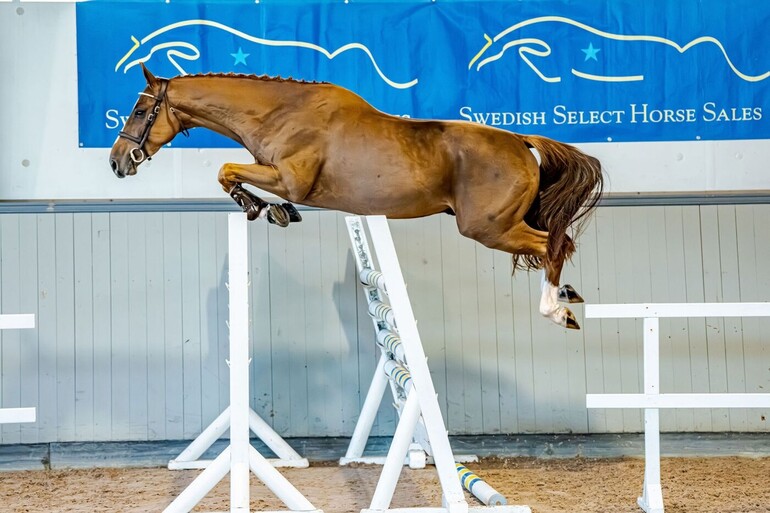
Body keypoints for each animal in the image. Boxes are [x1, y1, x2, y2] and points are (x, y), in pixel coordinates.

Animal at [110, 64, 604, 329]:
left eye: (139, 109)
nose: (118, 162)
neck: (280, 114)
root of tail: (521, 140)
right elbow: (229, 173)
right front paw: (271, 210)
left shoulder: (289, 179)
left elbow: (226, 170)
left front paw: (263, 208)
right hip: (504, 223)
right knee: (558, 243)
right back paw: (569, 295)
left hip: (487, 227)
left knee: (554, 244)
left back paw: (556, 310)